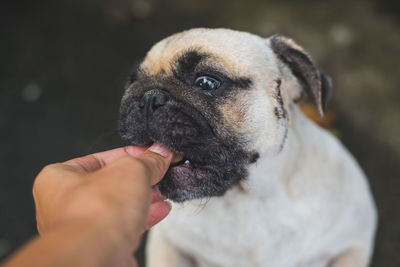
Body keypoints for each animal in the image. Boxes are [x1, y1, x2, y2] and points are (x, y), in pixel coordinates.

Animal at [118, 28, 376, 267]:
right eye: (132, 82)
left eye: (206, 82)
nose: (148, 97)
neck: (245, 199)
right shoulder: (167, 243)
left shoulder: (355, 244)